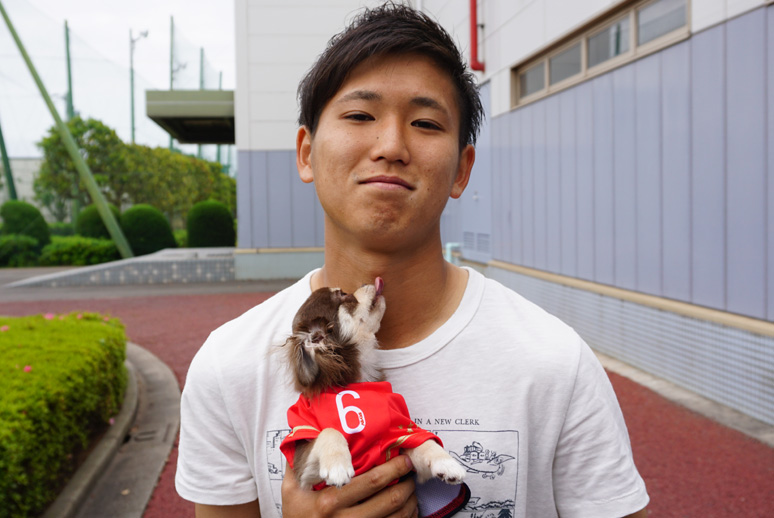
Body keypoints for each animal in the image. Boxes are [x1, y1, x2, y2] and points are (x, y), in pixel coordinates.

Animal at [279, 277, 466, 491]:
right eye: (343, 294)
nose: (366, 282)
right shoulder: (305, 472)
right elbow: (329, 430)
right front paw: (338, 466)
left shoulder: (394, 438)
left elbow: (421, 443)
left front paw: (446, 462)